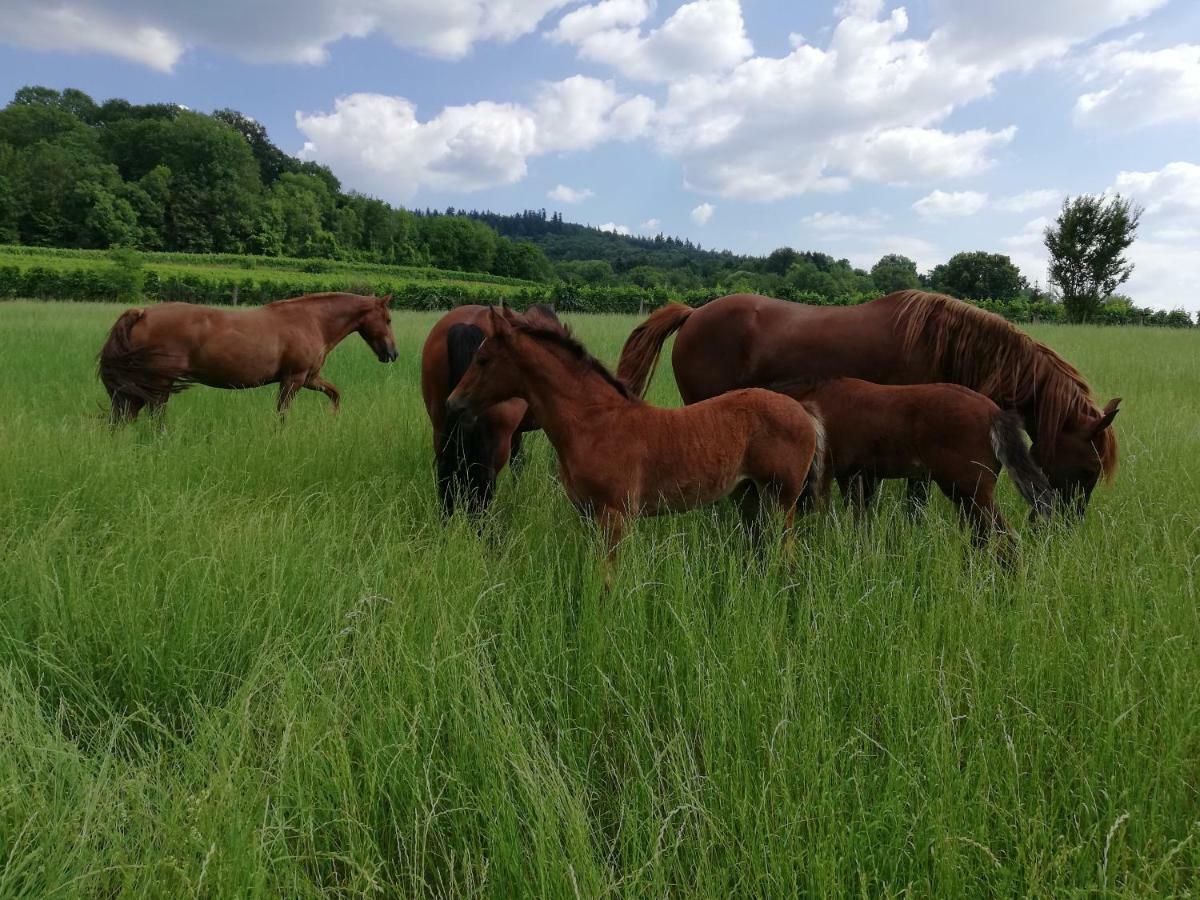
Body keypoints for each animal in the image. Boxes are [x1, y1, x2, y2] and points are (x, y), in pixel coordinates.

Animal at [97, 294, 398, 424]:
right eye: (388, 319)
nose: (393, 353)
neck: (311, 320)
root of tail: (142, 313)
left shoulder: (309, 378)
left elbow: (335, 394)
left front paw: (333, 419)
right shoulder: (293, 380)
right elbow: (282, 415)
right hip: (158, 384)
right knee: (153, 416)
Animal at [446, 309, 820, 564]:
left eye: (483, 359)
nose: (453, 403)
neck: (594, 422)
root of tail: (802, 411)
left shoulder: (615, 515)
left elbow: (608, 579)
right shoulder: (588, 514)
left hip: (783, 498)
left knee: (786, 553)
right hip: (749, 495)